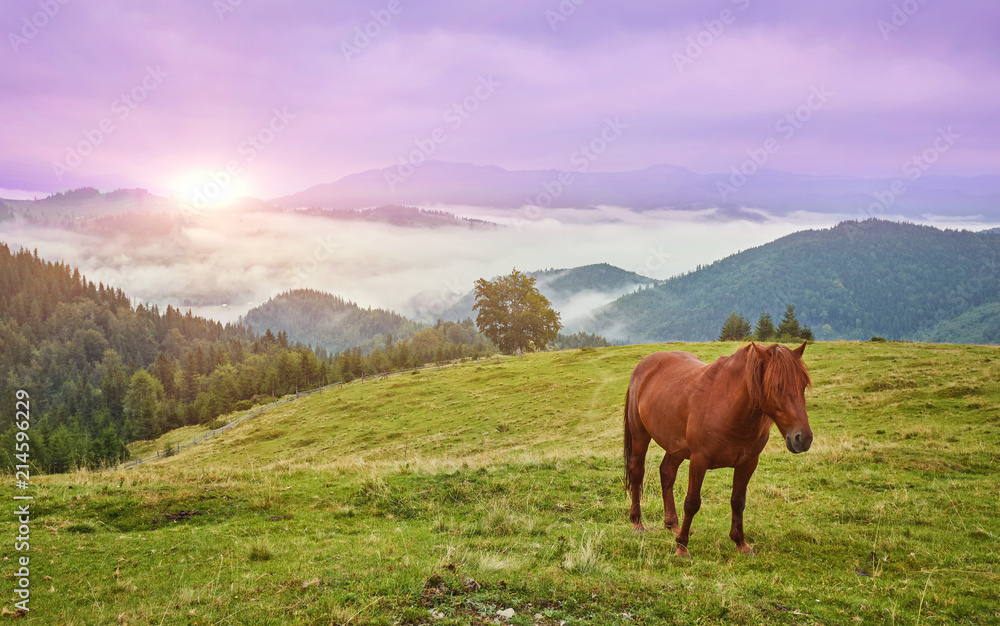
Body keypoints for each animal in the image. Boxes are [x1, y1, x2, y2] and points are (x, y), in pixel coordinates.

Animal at [624, 342, 812, 556]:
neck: (728, 407)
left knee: (667, 473)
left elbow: (738, 501)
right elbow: (692, 503)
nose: (803, 438)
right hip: (640, 435)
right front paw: (682, 547)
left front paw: (740, 543)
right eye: (777, 387)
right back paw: (637, 523)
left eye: (803, 385)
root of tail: (644, 364)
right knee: (637, 473)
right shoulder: (699, 460)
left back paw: (672, 524)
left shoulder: (748, 463)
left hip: (675, 446)